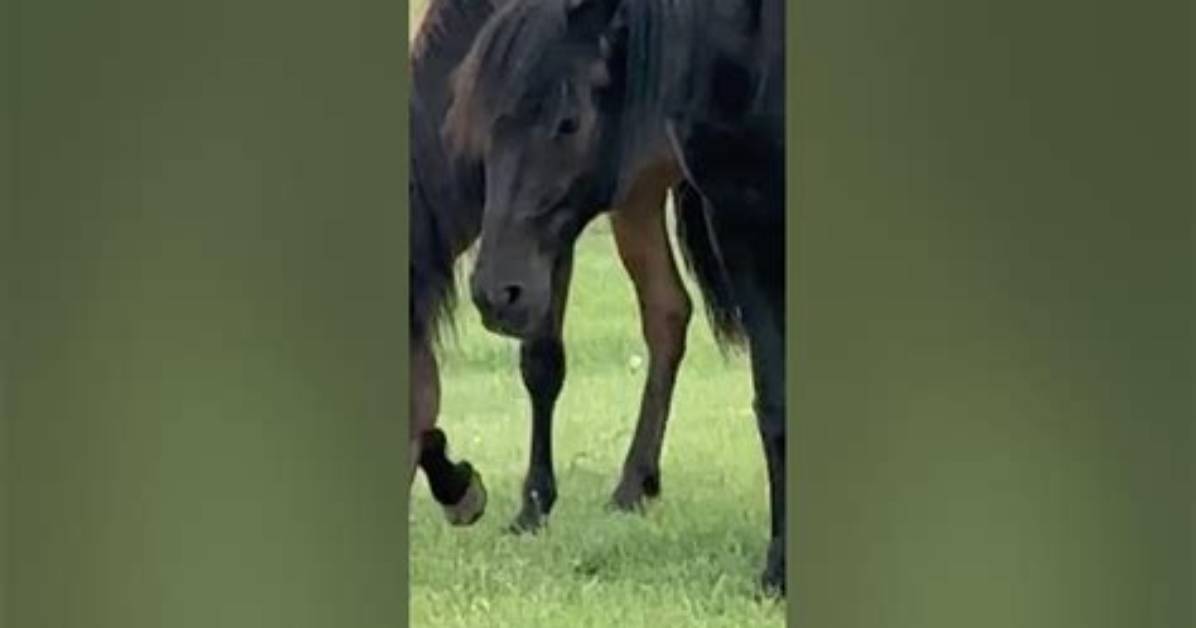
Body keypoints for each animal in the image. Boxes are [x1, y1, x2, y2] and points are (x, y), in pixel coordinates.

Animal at [410, 0, 728, 533]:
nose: (460, 489)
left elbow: (542, 361)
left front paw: (531, 504)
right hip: (638, 197)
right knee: (668, 313)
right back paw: (636, 484)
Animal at [444, 0, 786, 593]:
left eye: (569, 121)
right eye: (486, 121)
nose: (496, 294)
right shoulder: (741, 230)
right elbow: (774, 407)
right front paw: (776, 570)